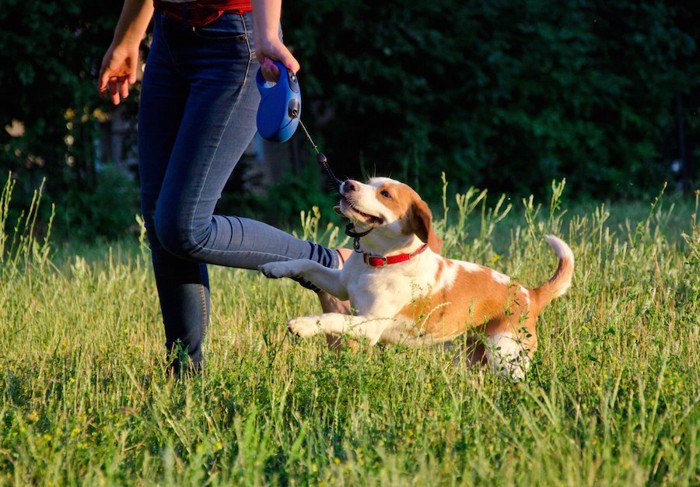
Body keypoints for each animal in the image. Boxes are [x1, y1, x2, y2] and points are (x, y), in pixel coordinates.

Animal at [260, 177, 572, 380]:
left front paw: (303, 325)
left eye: (385, 194)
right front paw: (275, 267)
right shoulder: (340, 286)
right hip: (474, 357)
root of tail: (531, 294)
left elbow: (331, 317)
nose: (348, 183)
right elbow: (308, 263)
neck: (380, 261)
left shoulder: (370, 326)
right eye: (369, 181)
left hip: (507, 357)